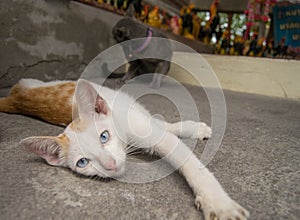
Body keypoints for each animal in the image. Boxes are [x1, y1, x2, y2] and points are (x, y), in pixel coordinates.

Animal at [0, 78, 248, 219]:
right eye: (83, 162)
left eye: (104, 136)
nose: (110, 165)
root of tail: (14, 97)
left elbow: (188, 161)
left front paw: (219, 204)